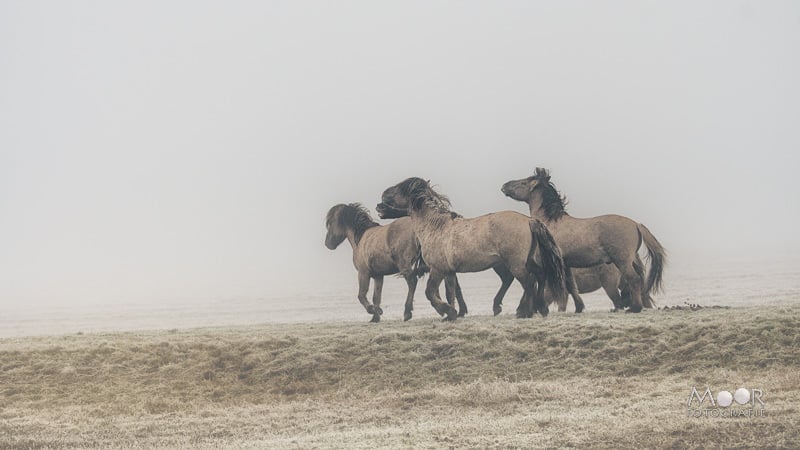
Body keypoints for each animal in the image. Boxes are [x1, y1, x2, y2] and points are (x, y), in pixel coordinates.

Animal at [322, 202, 466, 322]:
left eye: (330, 223)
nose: (328, 244)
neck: (361, 237)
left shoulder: (363, 273)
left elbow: (361, 295)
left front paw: (375, 311)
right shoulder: (378, 276)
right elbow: (376, 296)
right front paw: (375, 318)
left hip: (406, 264)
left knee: (413, 282)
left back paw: (409, 312)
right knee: (450, 284)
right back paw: (455, 311)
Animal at [378, 177, 564, 320]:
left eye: (399, 189)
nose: (379, 204)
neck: (435, 227)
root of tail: (529, 220)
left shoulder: (437, 269)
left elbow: (430, 292)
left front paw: (447, 311)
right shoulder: (449, 271)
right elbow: (451, 292)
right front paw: (452, 314)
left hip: (516, 264)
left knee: (529, 282)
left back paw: (525, 312)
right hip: (525, 261)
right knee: (539, 275)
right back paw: (540, 308)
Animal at [504, 169, 664, 312]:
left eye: (524, 182)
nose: (505, 185)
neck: (549, 223)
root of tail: (636, 224)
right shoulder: (566, 263)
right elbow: (571, 286)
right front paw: (579, 308)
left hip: (623, 261)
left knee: (634, 280)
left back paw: (635, 308)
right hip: (631, 261)